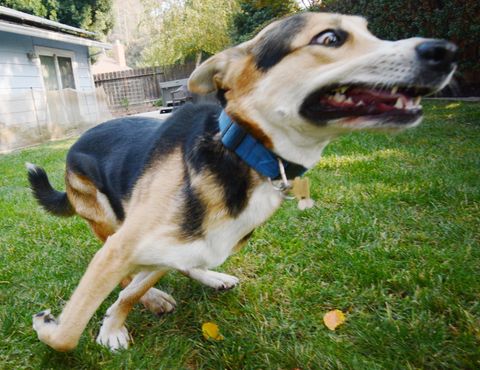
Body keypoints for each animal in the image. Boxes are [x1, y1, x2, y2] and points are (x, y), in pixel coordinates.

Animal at [28, 11, 456, 352]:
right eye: (330, 38)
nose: (445, 52)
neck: (242, 151)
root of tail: (75, 143)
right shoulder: (121, 248)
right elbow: (69, 333)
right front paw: (76, 326)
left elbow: (134, 290)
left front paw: (118, 316)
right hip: (106, 218)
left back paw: (204, 277)